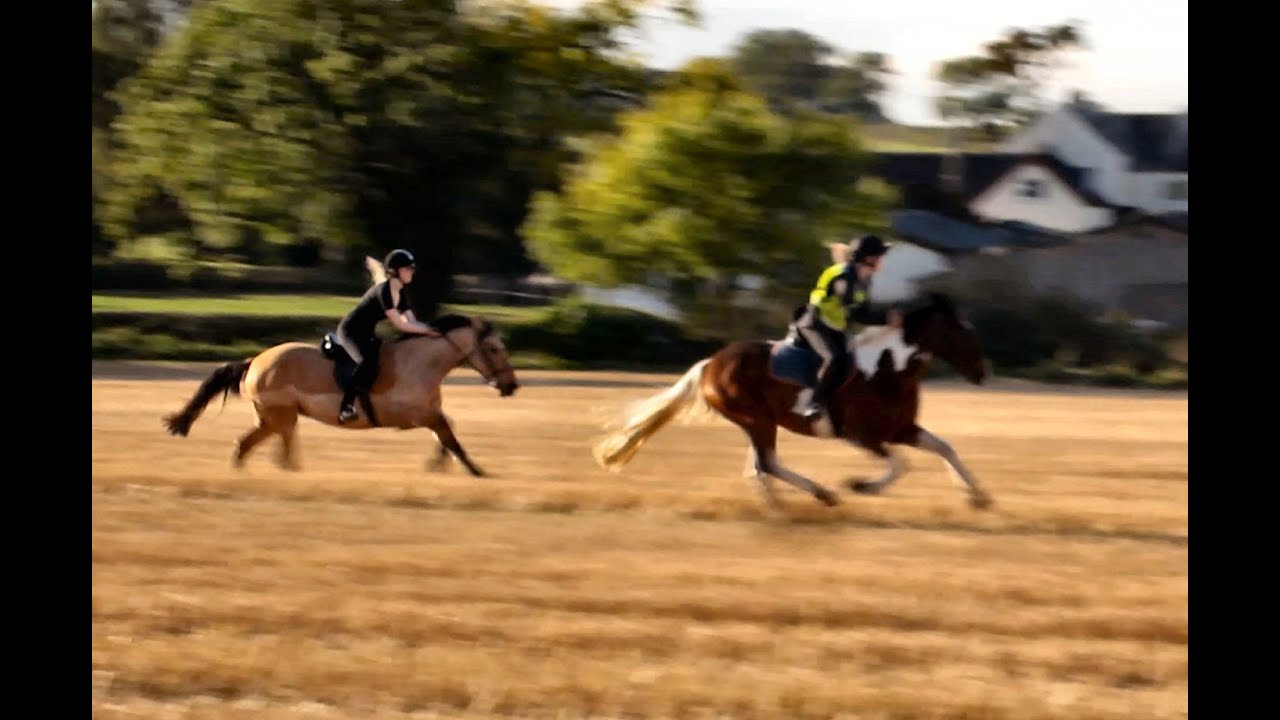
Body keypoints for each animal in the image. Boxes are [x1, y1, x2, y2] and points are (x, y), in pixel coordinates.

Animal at [162, 312, 517, 471]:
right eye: (494, 349)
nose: (512, 386)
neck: (421, 363)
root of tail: (254, 362)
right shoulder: (416, 415)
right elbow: (451, 436)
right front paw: (475, 471)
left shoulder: (426, 414)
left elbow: (447, 432)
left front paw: (439, 464)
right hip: (279, 417)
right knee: (255, 447)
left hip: (279, 419)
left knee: (258, 449)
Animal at [593, 293, 993, 509]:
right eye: (958, 331)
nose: (981, 373)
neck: (888, 369)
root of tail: (711, 364)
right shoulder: (861, 435)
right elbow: (900, 465)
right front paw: (861, 485)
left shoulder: (901, 429)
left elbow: (944, 447)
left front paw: (977, 496)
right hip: (756, 419)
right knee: (767, 464)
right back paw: (820, 495)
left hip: (758, 422)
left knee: (758, 468)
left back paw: (781, 506)